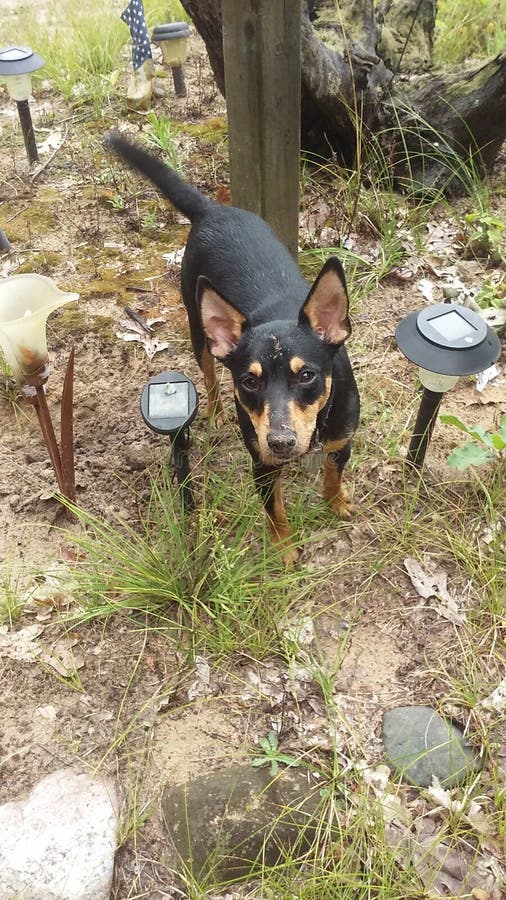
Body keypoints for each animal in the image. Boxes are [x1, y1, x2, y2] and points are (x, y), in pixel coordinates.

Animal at [107, 133, 360, 560]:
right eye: (249, 382)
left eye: (307, 375)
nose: (280, 442)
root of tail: (213, 209)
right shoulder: (262, 465)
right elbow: (275, 510)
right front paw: (283, 548)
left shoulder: (341, 440)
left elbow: (332, 473)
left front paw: (337, 501)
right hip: (199, 331)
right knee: (209, 374)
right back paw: (216, 412)